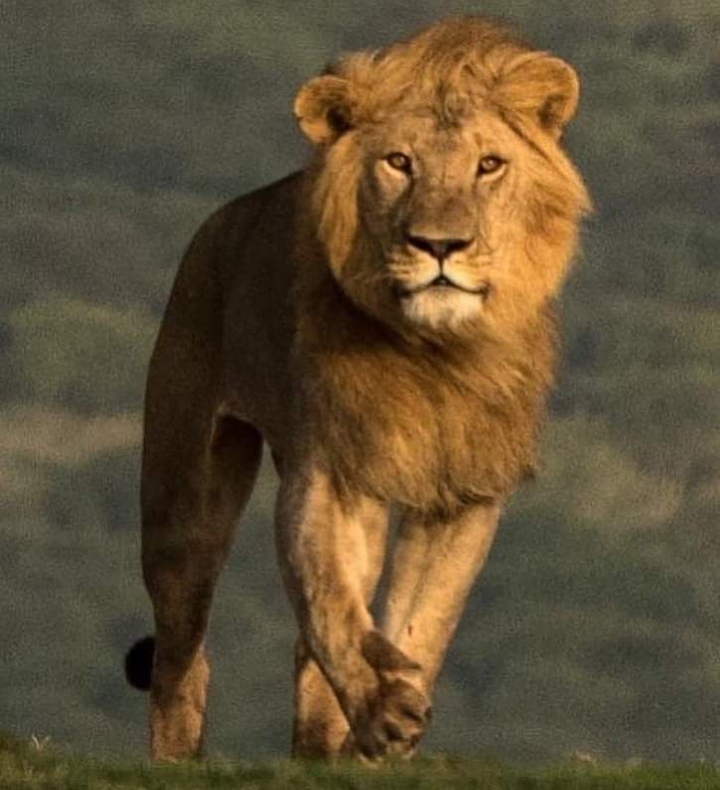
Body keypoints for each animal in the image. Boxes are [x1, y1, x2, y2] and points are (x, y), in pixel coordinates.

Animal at [125, 16, 590, 762]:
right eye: (399, 162)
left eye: (489, 165)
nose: (440, 245)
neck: (433, 351)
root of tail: (223, 218)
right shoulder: (330, 473)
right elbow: (333, 609)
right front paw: (383, 710)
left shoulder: (465, 492)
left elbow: (421, 619)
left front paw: (387, 718)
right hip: (183, 500)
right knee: (180, 653)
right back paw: (177, 760)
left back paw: (320, 753)